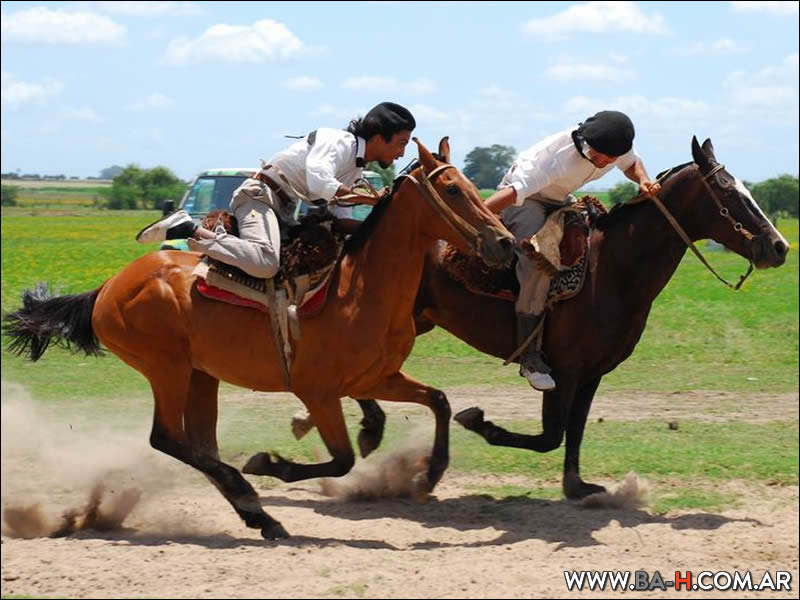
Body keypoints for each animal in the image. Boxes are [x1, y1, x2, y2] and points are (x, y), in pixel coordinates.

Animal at [4, 139, 512, 540]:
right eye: (453, 189)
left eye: (472, 184)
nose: (505, 243)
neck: (358, 288)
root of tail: (108, 287)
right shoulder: (319, 392)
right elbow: (342, 459)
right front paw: (270, 464)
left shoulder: (376, 378)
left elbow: (439, 401)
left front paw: (429, 475)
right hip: (166, 369)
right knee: (167, 438)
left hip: (200, 376)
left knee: (199, 445)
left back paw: (257, 514)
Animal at [340, 136, 788, 496]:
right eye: (729, 194)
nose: (779, 246)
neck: (612, 268)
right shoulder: (565, 371)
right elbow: (550, 436)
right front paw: (480, 423)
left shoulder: (592, 373)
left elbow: (574, 431)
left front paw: (577, 485)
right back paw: (372, 429)